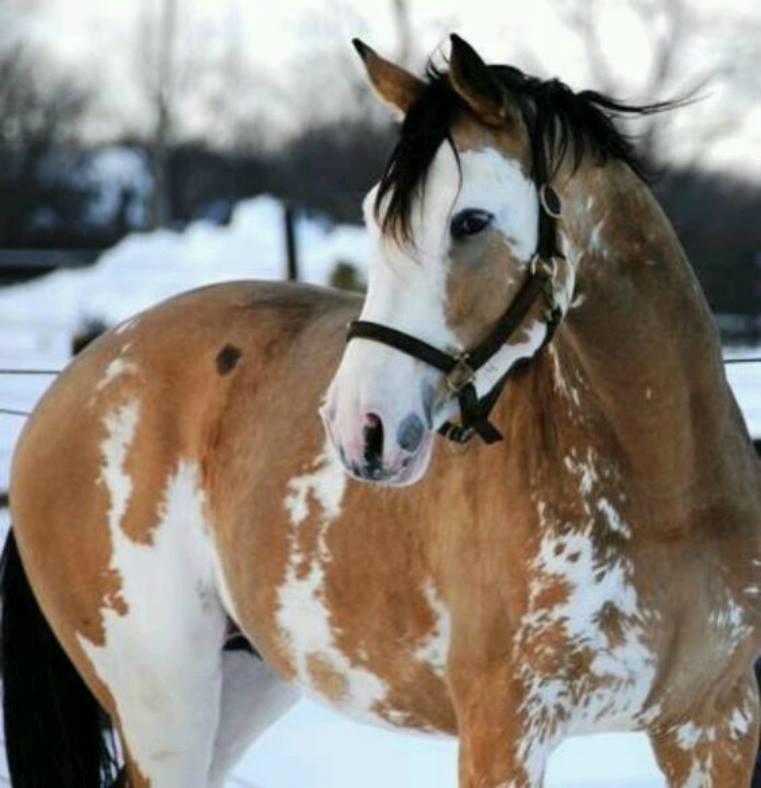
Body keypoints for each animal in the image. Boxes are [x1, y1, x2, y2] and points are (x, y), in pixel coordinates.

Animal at [4, 32, 760, 788]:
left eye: (470, 220)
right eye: (374, 216)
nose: (358, 429)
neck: (664, 491)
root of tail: (68, 388)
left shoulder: (714, 723)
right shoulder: (502, 732)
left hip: (239, 685)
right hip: (166, 707)